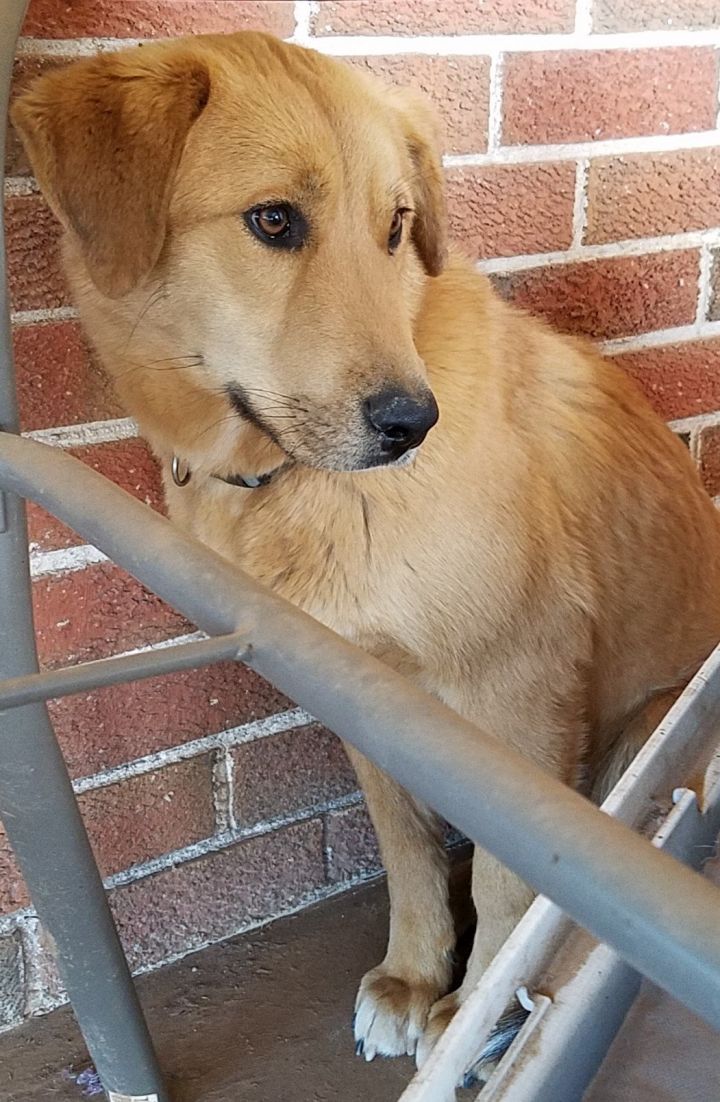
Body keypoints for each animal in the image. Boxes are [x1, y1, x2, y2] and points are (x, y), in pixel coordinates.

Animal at [12, 32, 720, 1075]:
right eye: (273, 220)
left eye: (397, 225)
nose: (413, 424)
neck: (290, 481)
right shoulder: (369, 694)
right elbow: (405, 849)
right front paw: (416, 978)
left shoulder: (517, 685)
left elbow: (513, 877)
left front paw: (472, 1010)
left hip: (652, 736)